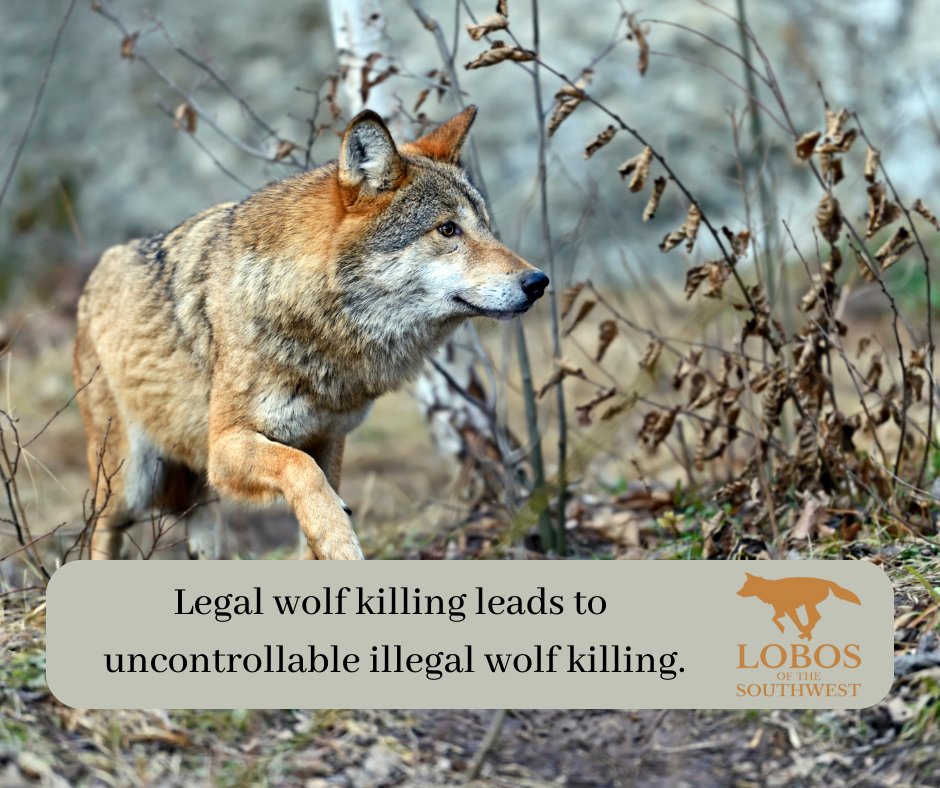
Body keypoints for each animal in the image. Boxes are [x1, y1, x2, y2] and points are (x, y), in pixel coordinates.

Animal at [73, 106, 548, 561]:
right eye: (447, 229)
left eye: (486, 227)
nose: (539, 282)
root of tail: (91, 281)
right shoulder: (225, 448)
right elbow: (303, 474)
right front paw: (341, 543)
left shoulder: (329, 439)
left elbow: (311, 519)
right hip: (131, 485)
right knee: (100, 537)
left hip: (199, 500)